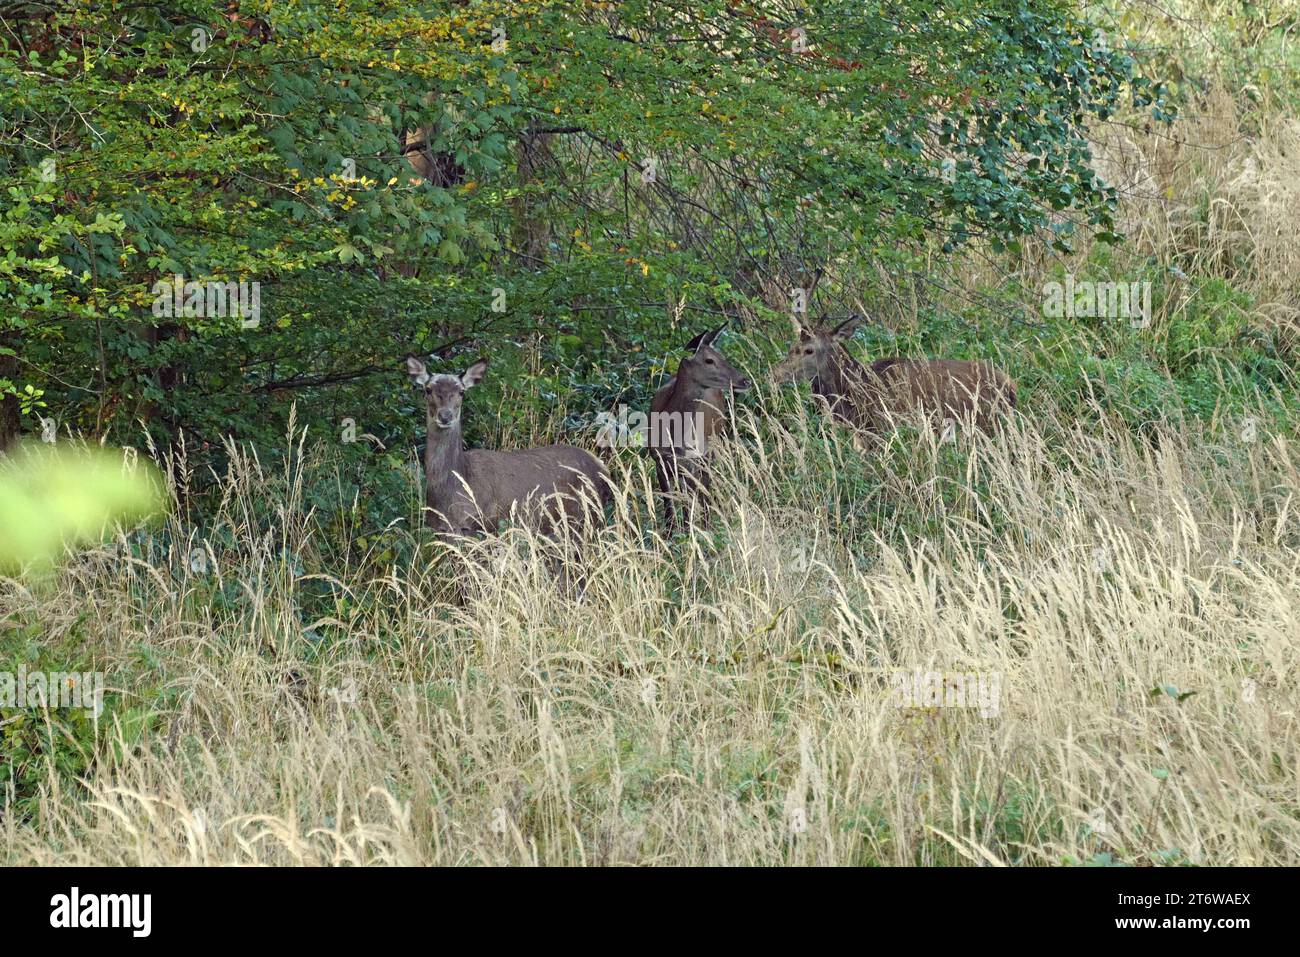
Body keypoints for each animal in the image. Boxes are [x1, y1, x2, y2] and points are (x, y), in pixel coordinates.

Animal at [403, 356, 611, 538]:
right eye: (428, 389)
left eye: (461, 391)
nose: (445, 416)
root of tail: (603, 467)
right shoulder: (441, 529)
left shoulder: (483, 524)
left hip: (587, 516)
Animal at [647, 325, 754, 527]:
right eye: (709, 360)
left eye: (722, 355)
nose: (746, 381)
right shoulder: (659, 460)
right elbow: (669, 509)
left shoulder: (693, 462)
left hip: (711, 450)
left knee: (704, 492)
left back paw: (706, 523)